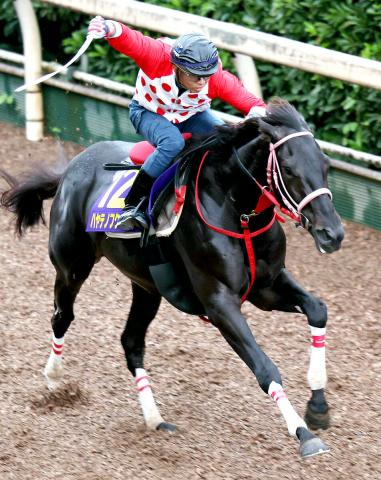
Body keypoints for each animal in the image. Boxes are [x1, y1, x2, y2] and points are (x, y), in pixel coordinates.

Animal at [0, 100, 344, 458]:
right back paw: (54, 377)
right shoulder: (219, 302)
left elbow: (318, 310)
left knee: (131, 342)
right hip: (72, 267)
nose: (332, 234)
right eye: (288, 169)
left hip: (146, 287)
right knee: (62, 316)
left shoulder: (266, 287)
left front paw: (318, 407)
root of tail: (71, 169)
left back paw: (155, 419)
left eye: (325, 165)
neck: (237, 210)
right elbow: (264, 367)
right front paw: (303, 434)